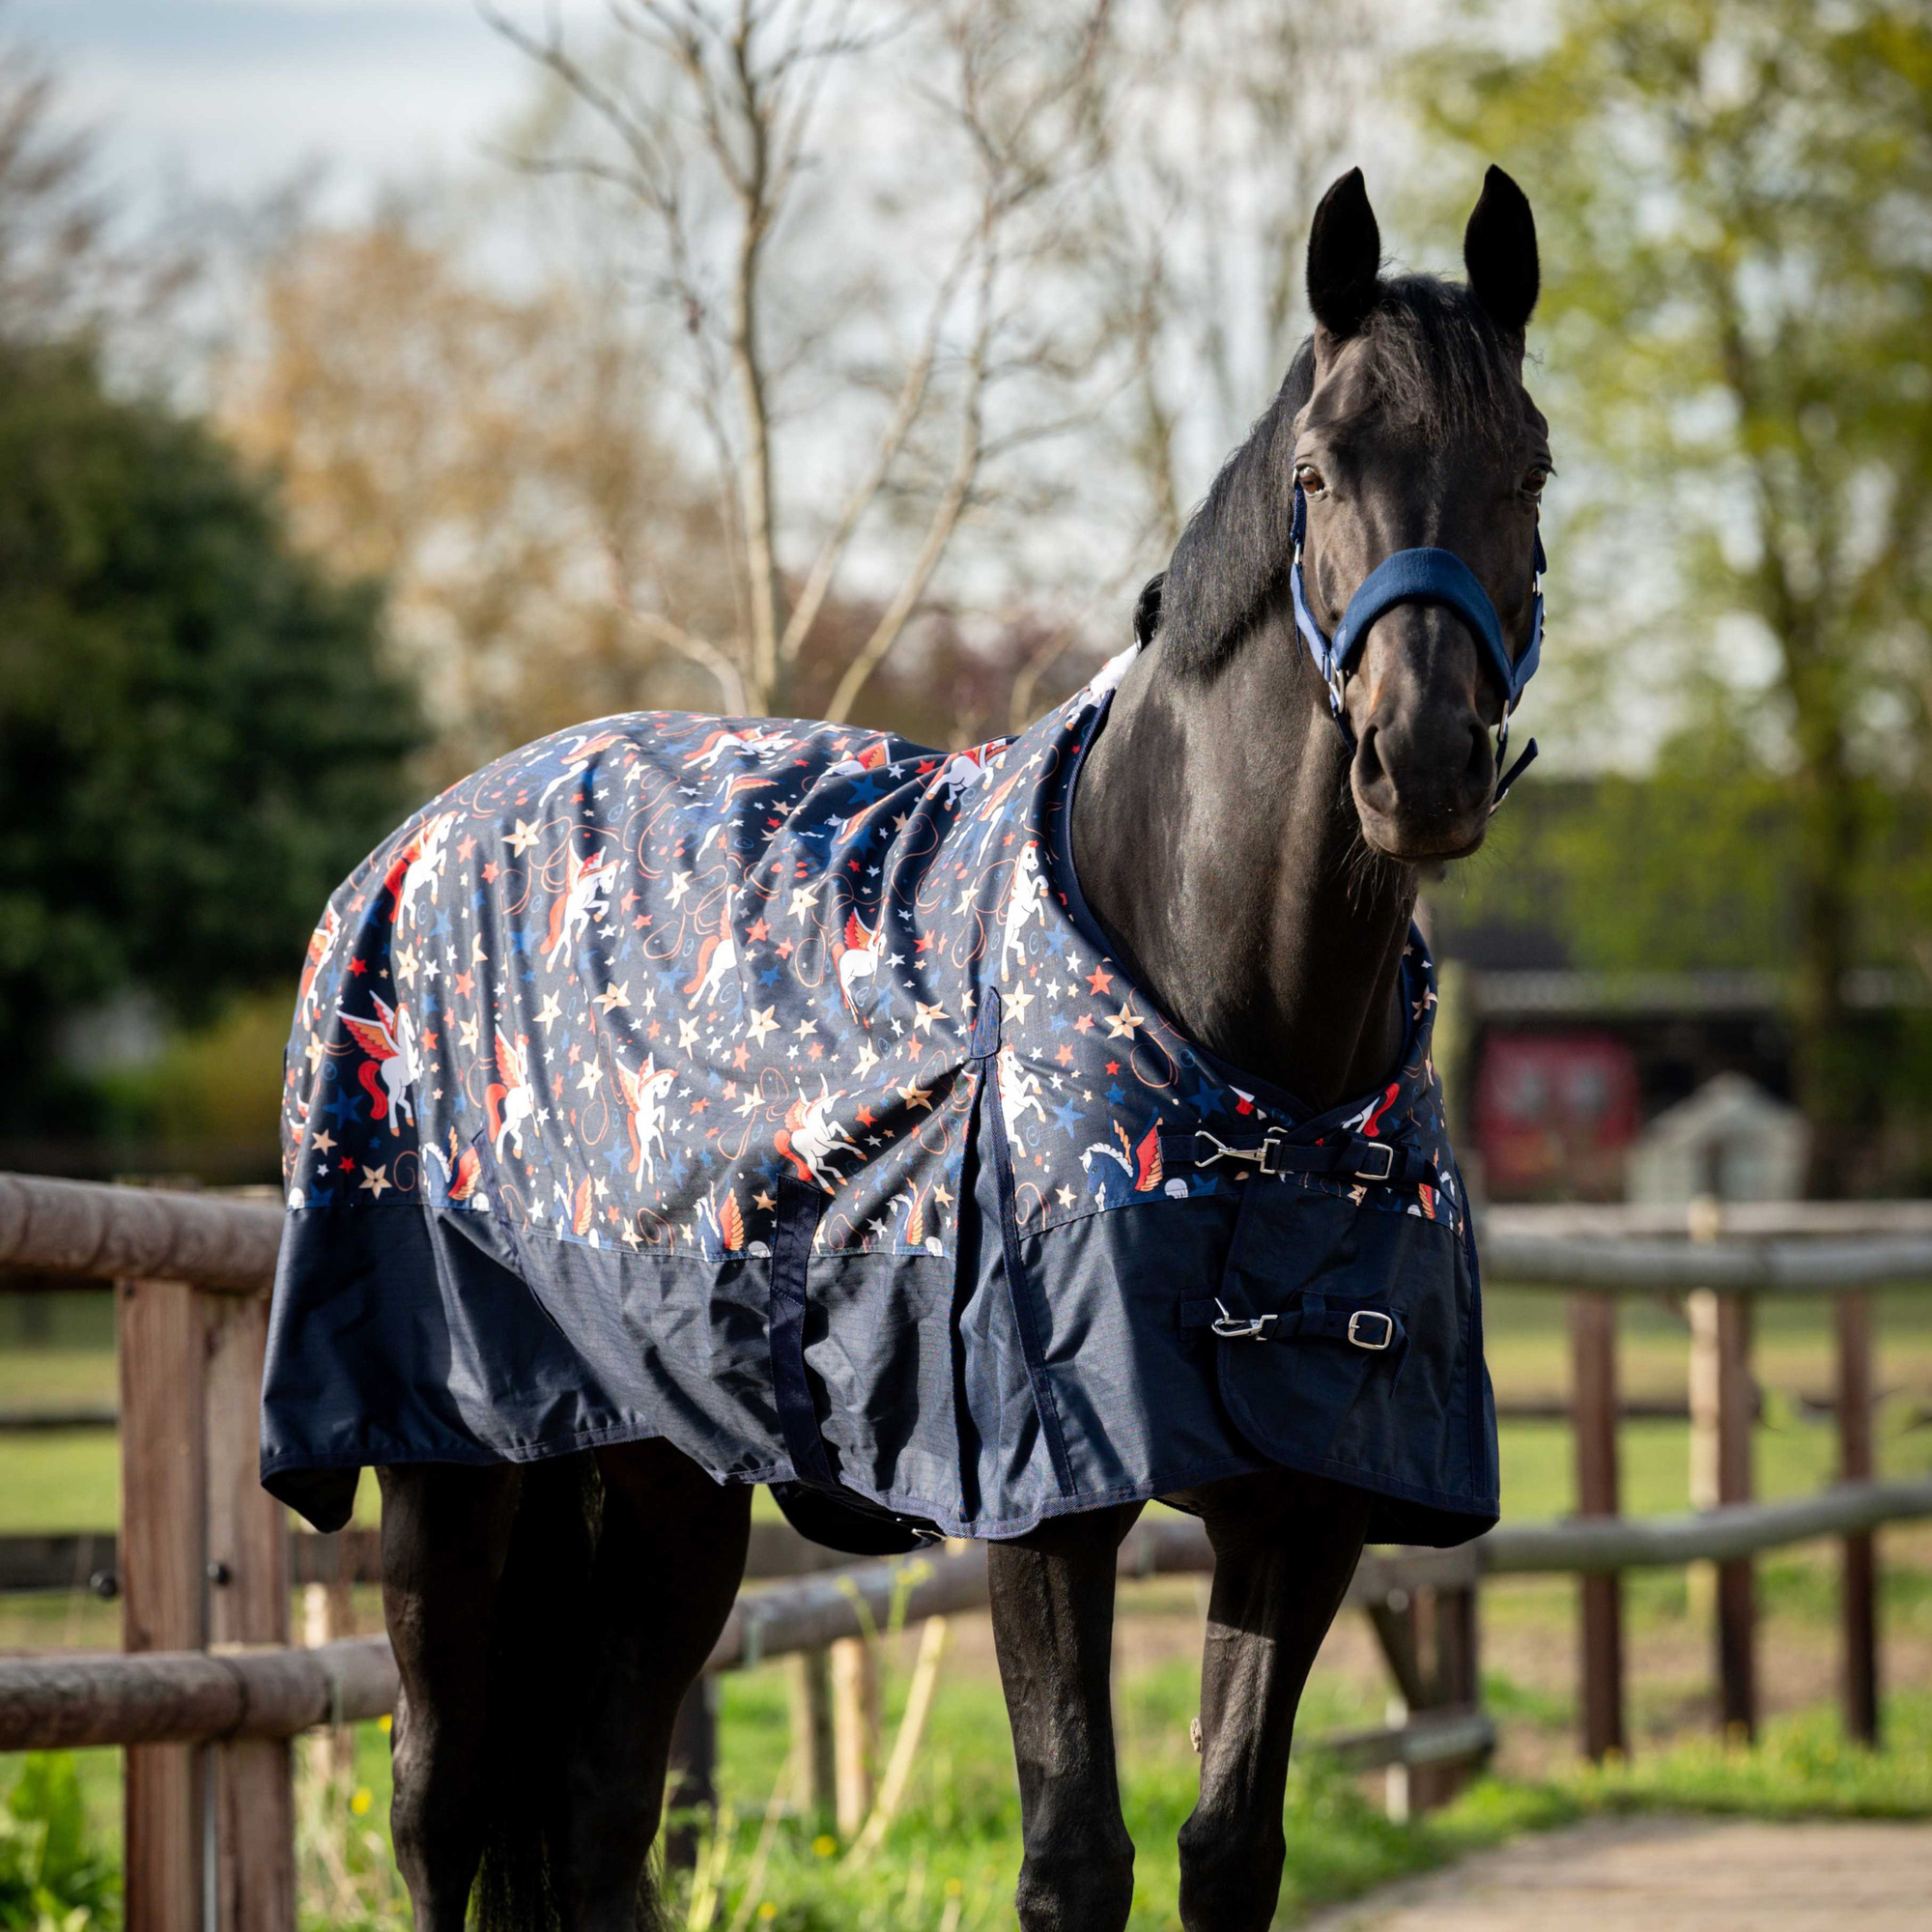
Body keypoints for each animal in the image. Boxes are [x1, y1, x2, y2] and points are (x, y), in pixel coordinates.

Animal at [280, 164, 1548, 1932]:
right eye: (1320, 469)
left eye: (1530, 465)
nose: (1418, 762)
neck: (1239, 1034)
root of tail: (413, 845)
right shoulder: (1045, 1496)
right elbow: (1073, 1855)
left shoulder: (1306, 1505)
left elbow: (1233, 1851)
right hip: (451, 1471)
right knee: (442, 1808)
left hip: (664, 1481)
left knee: (598, 1808)